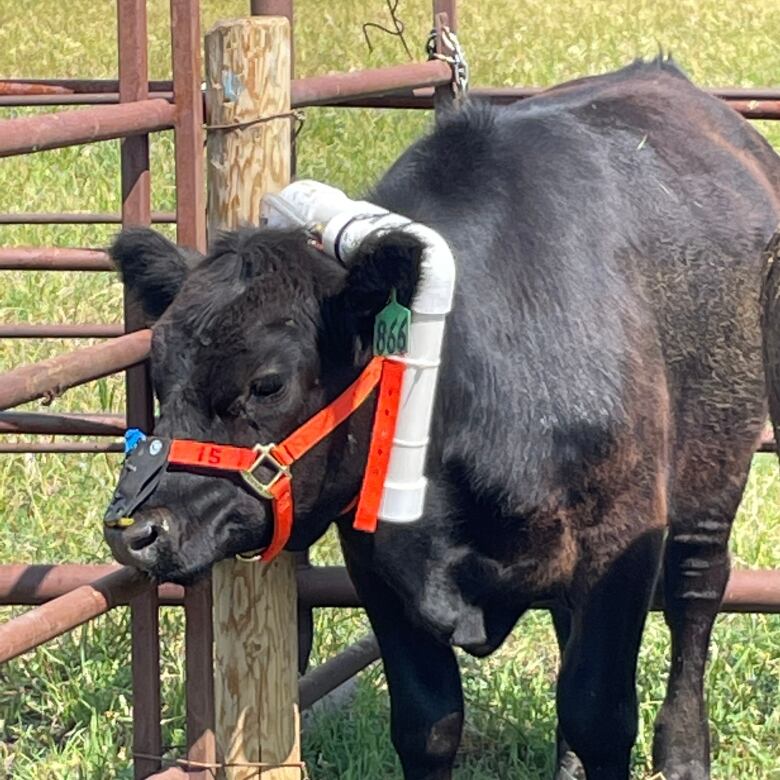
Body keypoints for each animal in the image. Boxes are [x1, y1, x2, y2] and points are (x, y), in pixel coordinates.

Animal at [103, 61, 780, 780]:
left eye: (267, 383)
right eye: (159, 370)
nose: (136, 529)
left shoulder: (622, 532)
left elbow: (598, 713)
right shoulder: (376, 561)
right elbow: (429, 722)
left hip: (715, 463)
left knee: (695, 592)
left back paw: (684, 752)